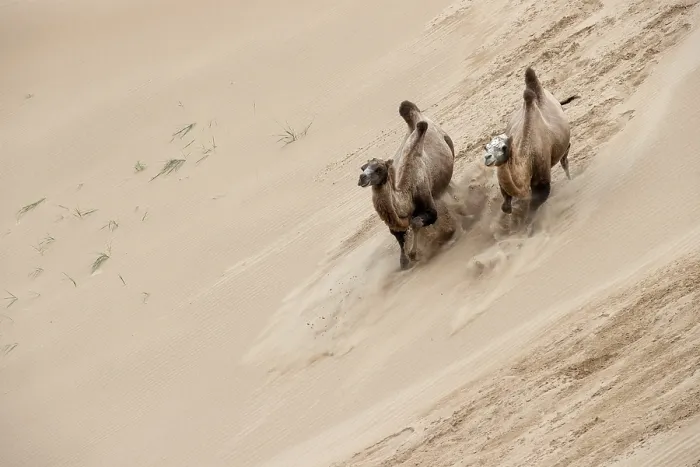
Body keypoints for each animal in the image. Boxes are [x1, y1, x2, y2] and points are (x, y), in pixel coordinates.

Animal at [358, 100, 456, 269]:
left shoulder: (428, 204)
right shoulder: (396, 224)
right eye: (363, 168)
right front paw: (404, 261)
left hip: (449, 145)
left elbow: (416, 222)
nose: (362, 178)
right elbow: (399, 236)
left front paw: (414, 253)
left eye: (379, 169)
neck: (407, 191)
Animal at [483, 67, 578, 226]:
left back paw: (570, 179)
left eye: (503, 147)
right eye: (487, 147)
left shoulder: (542, 179)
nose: (487, 157)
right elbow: (506, 206)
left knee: (565, 157)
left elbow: (533, 208)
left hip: (564, 143)